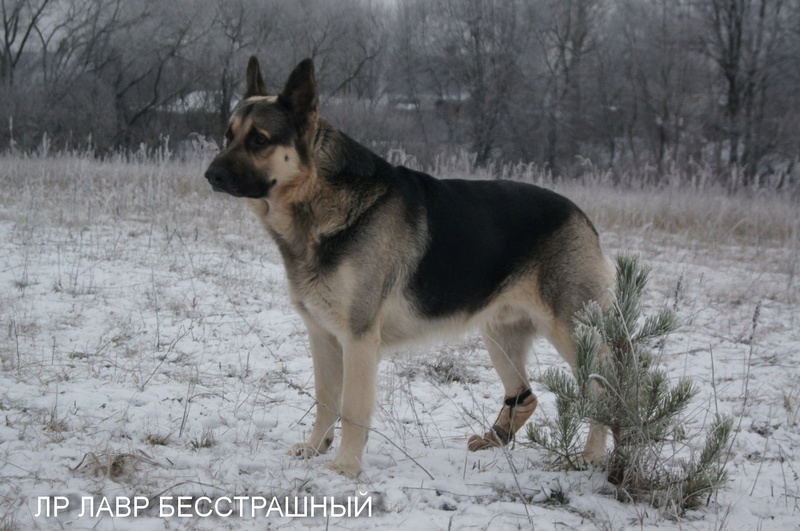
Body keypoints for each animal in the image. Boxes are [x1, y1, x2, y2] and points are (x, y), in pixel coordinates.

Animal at [205, 58, 612, 478]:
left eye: (259, 140)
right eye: (228, 136)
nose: (211, 175)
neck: (320, 196)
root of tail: (582, 215)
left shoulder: (358, 340)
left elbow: (351, 407)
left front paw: (345, 467)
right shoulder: (321, 336)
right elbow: (324, 399)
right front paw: (316, 447)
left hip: (569, 335)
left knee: (602, 391)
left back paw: (591, 456)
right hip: (499, 335)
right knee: (524, 396)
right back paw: (493, 439)